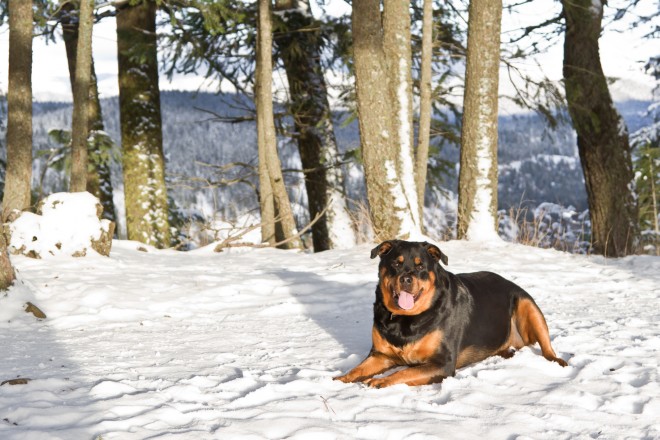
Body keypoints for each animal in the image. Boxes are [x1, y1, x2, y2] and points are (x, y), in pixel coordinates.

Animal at [336, 241, 568, 388]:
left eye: (420, 266)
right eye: (396, 263)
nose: (406, 278)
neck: (405, 318)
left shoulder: (443, 363)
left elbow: (405, 372)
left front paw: (381, 380)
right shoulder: (380, 355)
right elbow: (356, 370)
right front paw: (339, 380)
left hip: (528, 305)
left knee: (547, 346)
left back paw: (559, 362)